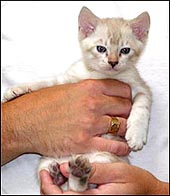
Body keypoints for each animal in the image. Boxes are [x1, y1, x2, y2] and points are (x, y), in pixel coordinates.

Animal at [3, 7, 152, 191]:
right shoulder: (67, 79)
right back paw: (58, 175)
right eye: (101, 49)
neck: (101, 75)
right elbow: (45, 82)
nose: (113, 62)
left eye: (125, 50)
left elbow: (142, 106)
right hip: (45, 162)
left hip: (105, 158)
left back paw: (78, 173)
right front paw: (17, 90)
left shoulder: (141, 87)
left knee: (82, 188)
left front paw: (136, 134)